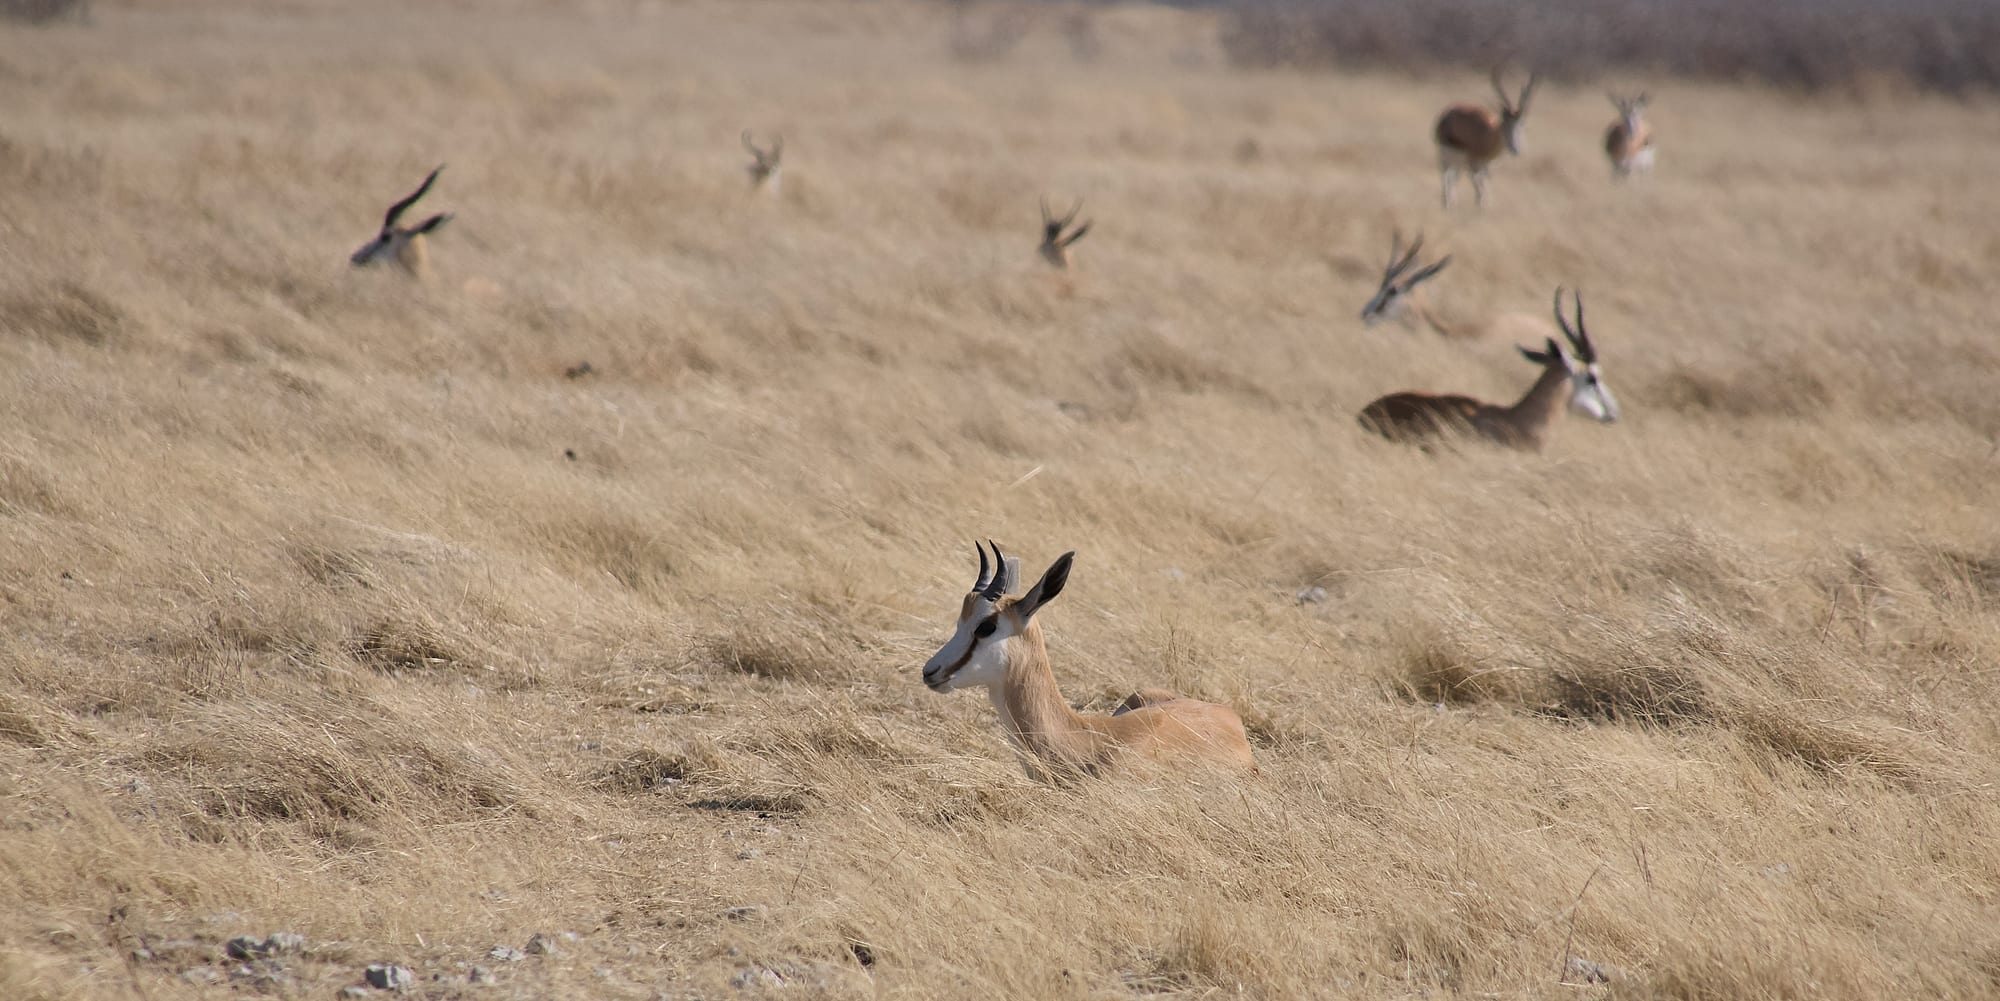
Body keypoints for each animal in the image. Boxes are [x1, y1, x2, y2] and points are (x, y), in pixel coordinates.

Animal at [1435, 69, 1539, 208]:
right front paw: (1480, 207)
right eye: (1504, 124)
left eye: (1522, 124)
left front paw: (1486, 206)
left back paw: (1452, 202)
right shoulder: (1473, 164)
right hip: (1447, 157)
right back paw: (1447, 204)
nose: (1515, 149)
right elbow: (1479, 188)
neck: (1488, 135)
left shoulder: (1487, 166)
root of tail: (1447, 113)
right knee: (1446, 176)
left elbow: (1485, 185)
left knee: (1453, 179)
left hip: (1460, 163)